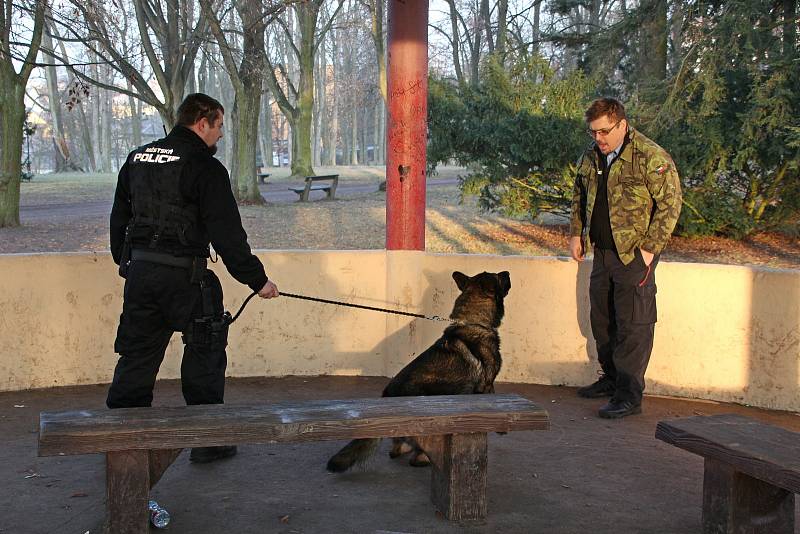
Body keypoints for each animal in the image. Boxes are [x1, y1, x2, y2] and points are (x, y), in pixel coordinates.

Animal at [326, 272, 510, 474]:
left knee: (396, 449)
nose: (507, 272)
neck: (474, 322)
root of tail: (386, 397)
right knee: (414, 456)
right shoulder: (487, 384)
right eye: (498, 277)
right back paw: (424, 458)